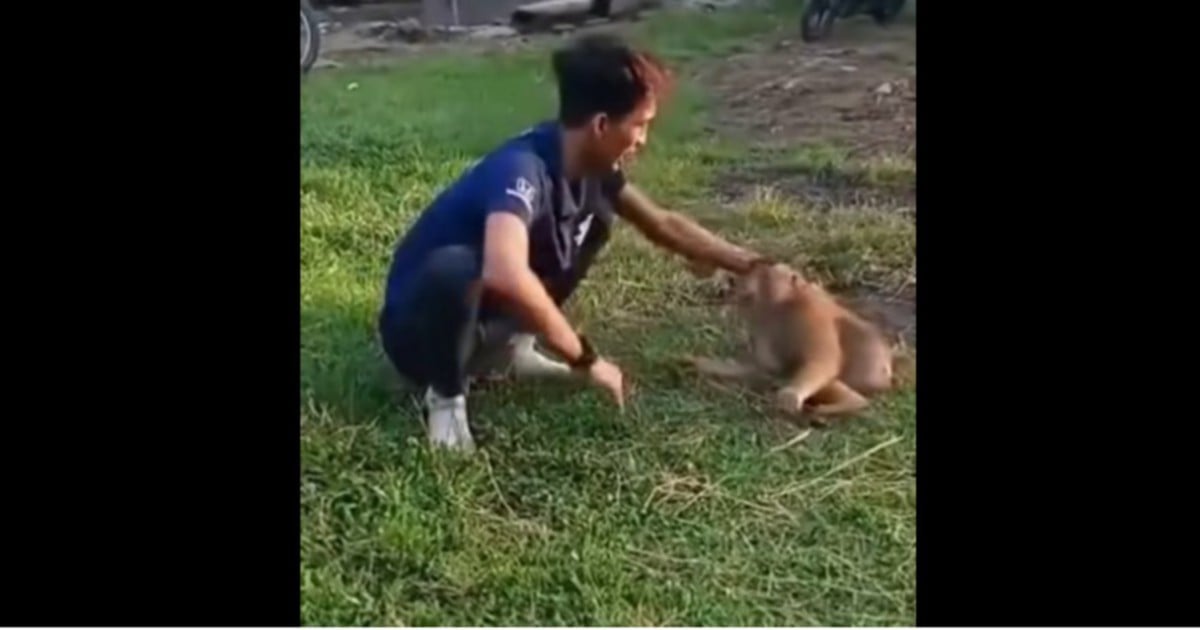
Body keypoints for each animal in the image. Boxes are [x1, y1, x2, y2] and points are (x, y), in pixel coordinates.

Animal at [688, 259, 895, 417]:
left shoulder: (808, 313)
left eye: (769, 270)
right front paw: (696, 362)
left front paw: (789, 396)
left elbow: (823, 359)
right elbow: (760, 366)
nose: (755, 265)